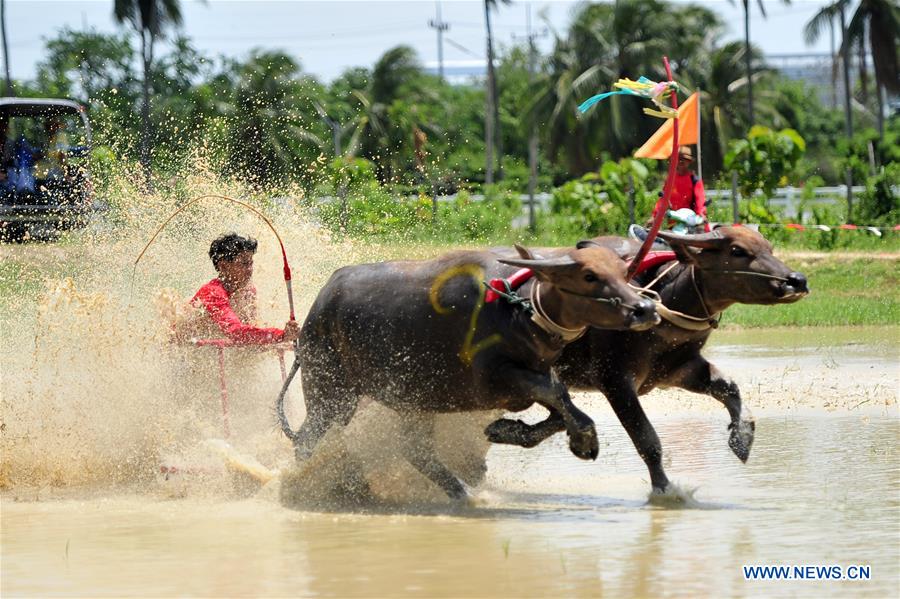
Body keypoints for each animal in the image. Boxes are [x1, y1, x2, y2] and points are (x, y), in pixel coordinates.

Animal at [278, 246, 656, 500]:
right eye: (589, 276)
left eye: (624, 273)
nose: (645, 309)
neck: (517, 308)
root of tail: (314, 314)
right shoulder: (495, 379)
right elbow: (557, 395)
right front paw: (585, 441)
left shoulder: (530, 376)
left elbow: (558, 409)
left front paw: (506, 430)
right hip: (332, 395)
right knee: (307, 440)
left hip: (414, 400)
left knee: (415, 450)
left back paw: (462, 494)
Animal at [488, 226, 812, 492]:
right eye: (737, 251)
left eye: (769, 248)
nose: (796, 281)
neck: (665, 302)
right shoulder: (615, 381)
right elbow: (646, 438)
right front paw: (665, 489)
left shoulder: (679, 370)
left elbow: (729, 387)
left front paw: (742, 438)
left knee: (556, 414)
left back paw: (506, 430)